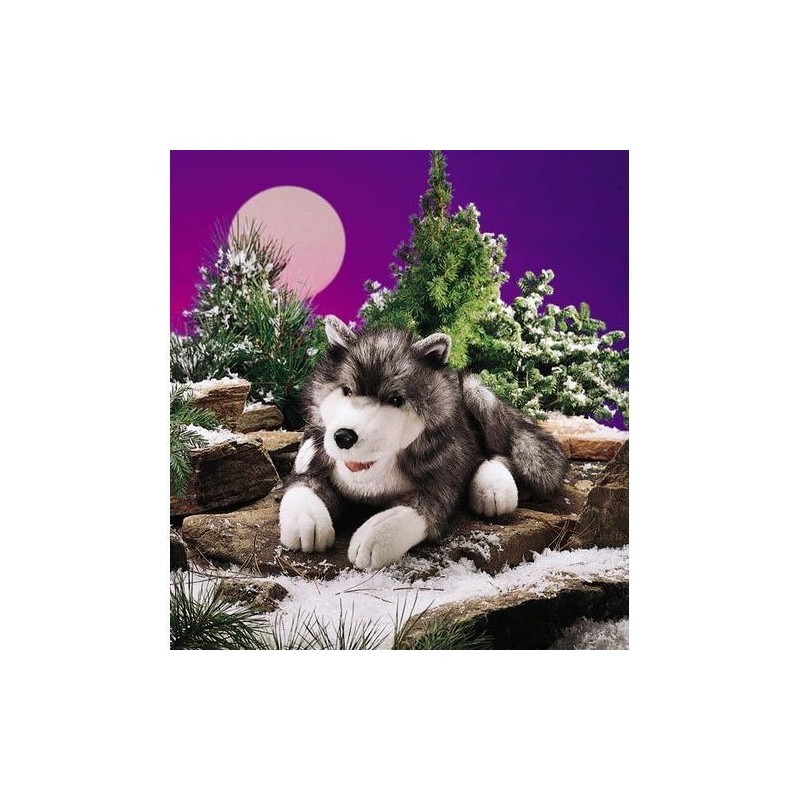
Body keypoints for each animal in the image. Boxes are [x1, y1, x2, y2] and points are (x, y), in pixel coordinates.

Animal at [279, 316, 568, 570]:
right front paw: (306, 519)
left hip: (477, 393)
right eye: (347, 391)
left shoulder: (439, 488)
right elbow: (301, 484)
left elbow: (414, 512)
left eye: (396, 400)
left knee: (496, 451)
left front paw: (374, 536)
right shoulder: (314, 466)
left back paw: (493, 487)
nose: (344, 436)